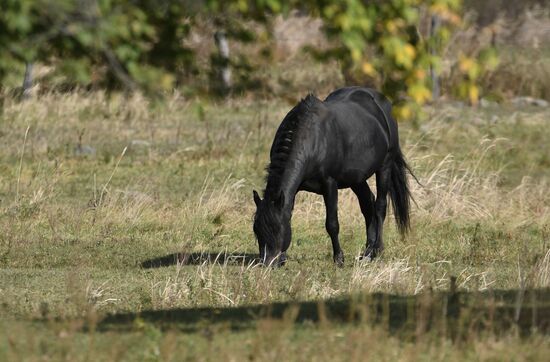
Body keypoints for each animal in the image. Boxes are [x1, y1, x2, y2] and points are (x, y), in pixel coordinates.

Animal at [254, 85, 414, 266]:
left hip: (384, 166)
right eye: (256, 231)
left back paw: (375, 251)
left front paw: (339, 258)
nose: (267, 264)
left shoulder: (329, 184)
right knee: (368, 204)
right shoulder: (293, 190)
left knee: (380, 206)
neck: (313, 140)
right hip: (356, 178)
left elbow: (332, 224)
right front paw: (283, 258)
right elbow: (288, 212)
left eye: (277, 229)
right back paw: (367, 250)